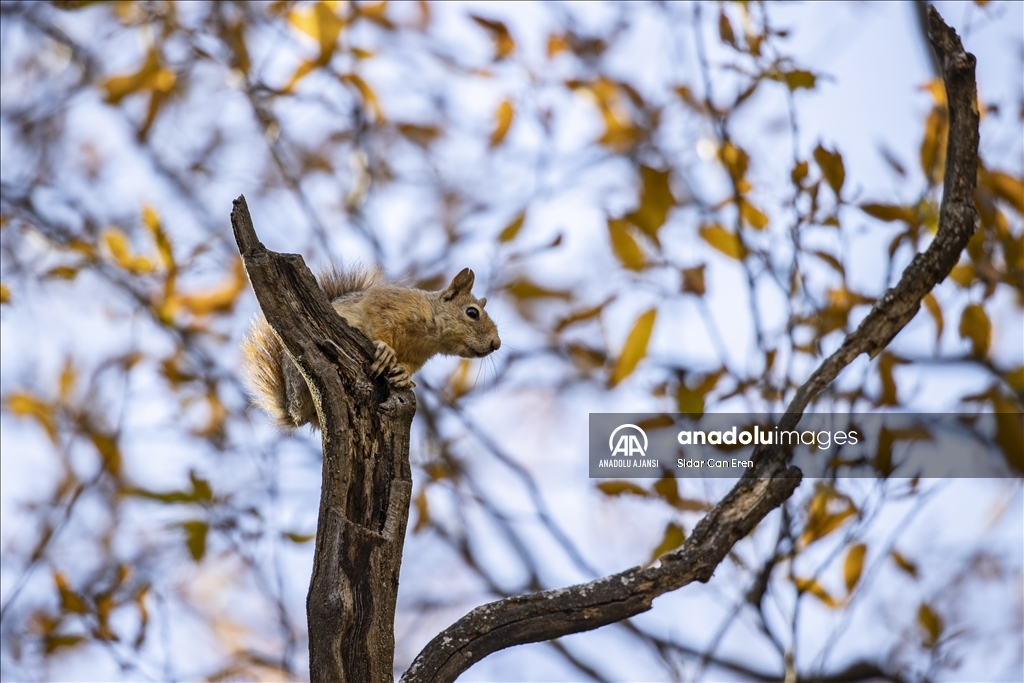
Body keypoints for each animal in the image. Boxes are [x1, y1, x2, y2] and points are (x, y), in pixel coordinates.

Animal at [237, 266, 497, 430]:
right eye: (472, 313)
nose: (497, 344)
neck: (429, 336)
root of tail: (294, 410)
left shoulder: (419, 356)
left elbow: (409, 366)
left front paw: (403, 374)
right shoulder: (386, 303)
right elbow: (376, 323)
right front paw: (385, 350)